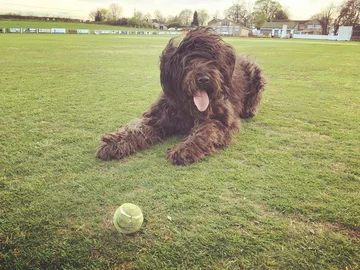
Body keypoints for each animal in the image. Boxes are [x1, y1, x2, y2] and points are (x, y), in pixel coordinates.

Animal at [97, 26, 266, 165]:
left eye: (212, 59)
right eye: (187, 61)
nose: (203, 79)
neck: (189, 107)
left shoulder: (220, 120)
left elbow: (205, 132)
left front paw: (186, 148)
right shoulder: (158, 115)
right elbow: (137, 128)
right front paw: (114, 142)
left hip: (255, 72)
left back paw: (250, 109)